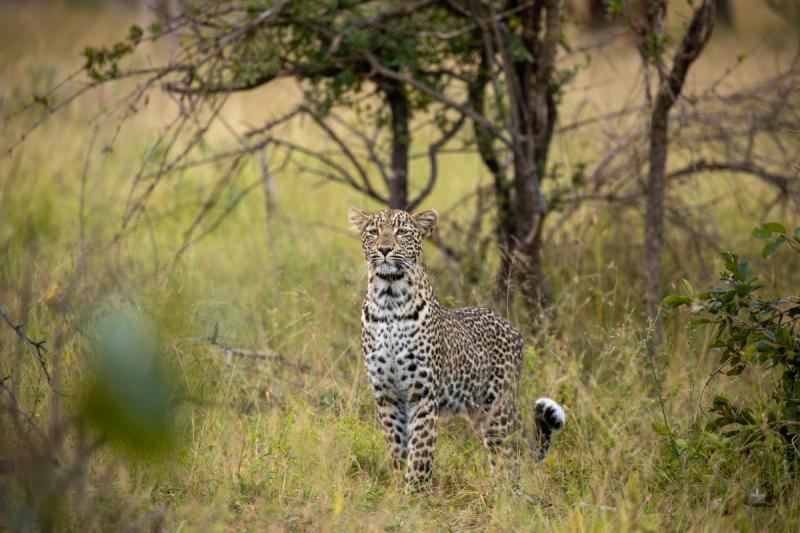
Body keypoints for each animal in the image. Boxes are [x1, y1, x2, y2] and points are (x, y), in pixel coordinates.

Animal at [349, 207, 565, 490]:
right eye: (373, 231)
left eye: (402, 232)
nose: (384, 248)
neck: (389, 300)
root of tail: (513, 330)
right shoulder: (386, 394)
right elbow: (396, 448)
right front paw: (397, 488)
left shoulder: (422, 393)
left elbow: (421, 450)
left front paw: (415, 491)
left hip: (498, 409)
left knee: (508, 457)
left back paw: (504, 492)